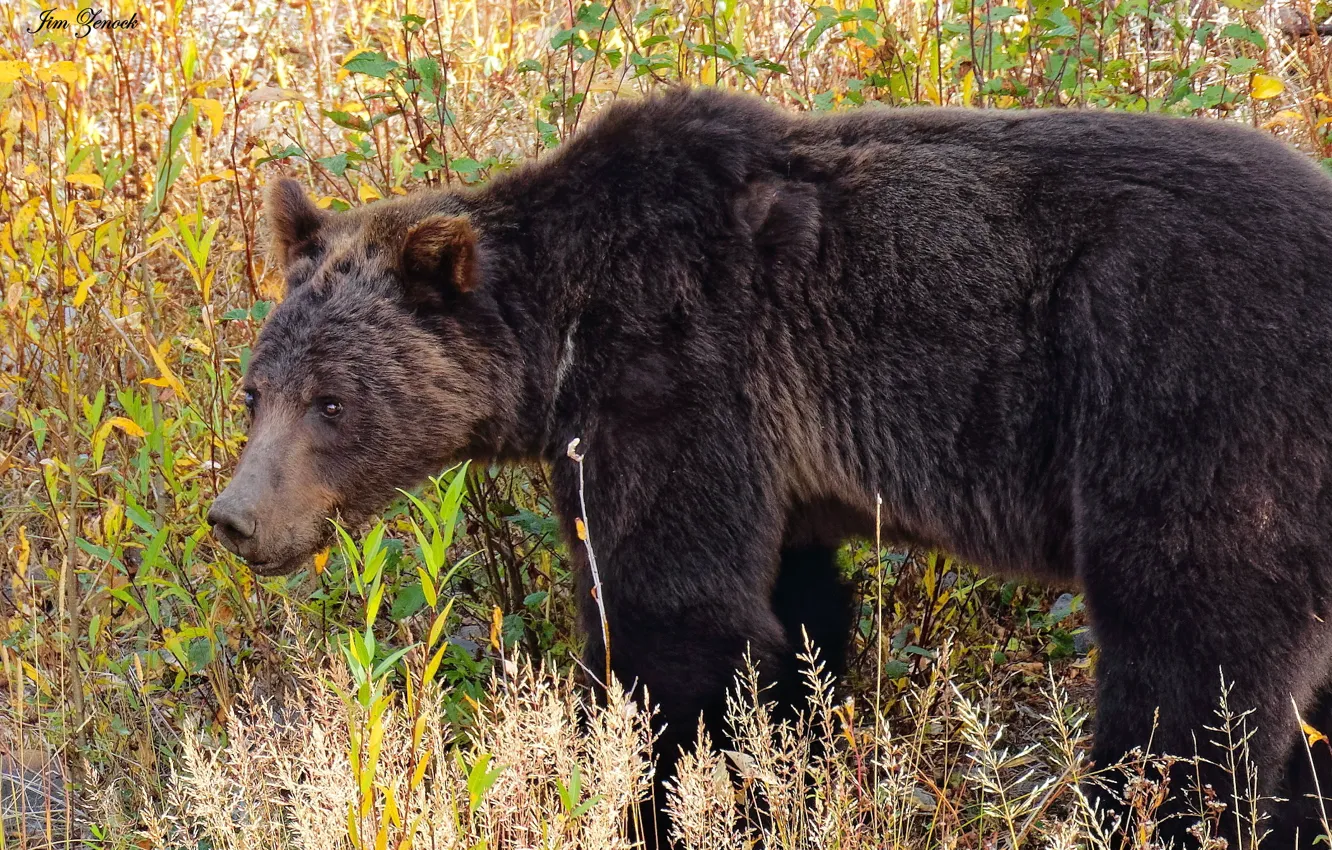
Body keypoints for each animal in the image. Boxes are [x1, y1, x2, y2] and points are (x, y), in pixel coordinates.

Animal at [208, 87, 1332, 847]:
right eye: (256, 394)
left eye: (331, 402)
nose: (235, 519)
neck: (557, 337)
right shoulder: (784, 470)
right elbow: (789, 624)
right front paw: (792, 766)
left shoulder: (675, 373)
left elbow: (673, 619)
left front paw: (654, 795)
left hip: (1195, 398)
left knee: (1190, 667)